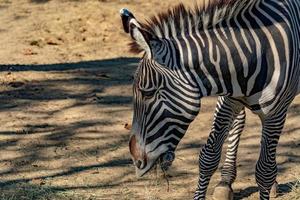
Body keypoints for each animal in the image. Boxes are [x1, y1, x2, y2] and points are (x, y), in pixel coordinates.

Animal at [119, 0, 300, 198]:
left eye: (148, 93)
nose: (136, 161)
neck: (254, 53)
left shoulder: (275, 114)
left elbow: (265, 170)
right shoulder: (228, 101)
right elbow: (208, 157)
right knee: (239, 122)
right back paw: (226, 182)